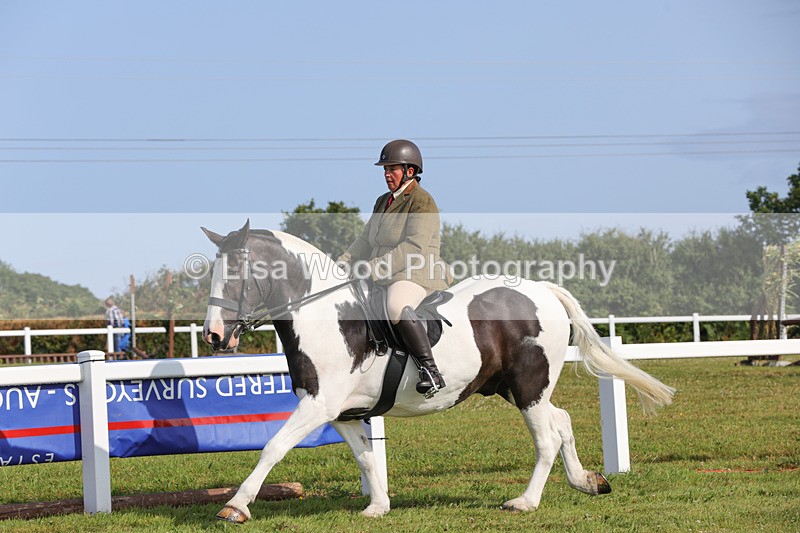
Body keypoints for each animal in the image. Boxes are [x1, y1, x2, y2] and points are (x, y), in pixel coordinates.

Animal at [201, 220, 675, 523]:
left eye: (239, 270)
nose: (214, 336)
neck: (328, 318)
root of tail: (542, 290)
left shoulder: (318, 406)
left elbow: (273, 447)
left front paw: (236, 506)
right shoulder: (341, 413)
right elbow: (366, 456)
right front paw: (378, 506)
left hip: (528, 386)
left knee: (547, 437)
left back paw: (524, 502)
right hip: (514, 386)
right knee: (562, 421)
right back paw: (587, 482)